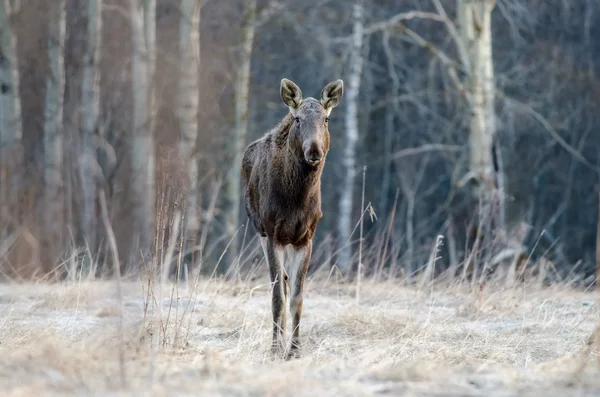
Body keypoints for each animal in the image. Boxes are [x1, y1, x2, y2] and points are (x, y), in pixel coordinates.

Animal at [239, 77, 342, 358]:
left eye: (326, 119)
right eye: (297, 119)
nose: (314, 150)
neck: (296, 201)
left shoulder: (305, 237)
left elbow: (297, 297)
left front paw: (294, 349)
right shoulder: (273, 232)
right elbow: (278, 296)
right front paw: (276, 348)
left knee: (286, 282)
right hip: (260, 231)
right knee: (279, 283)